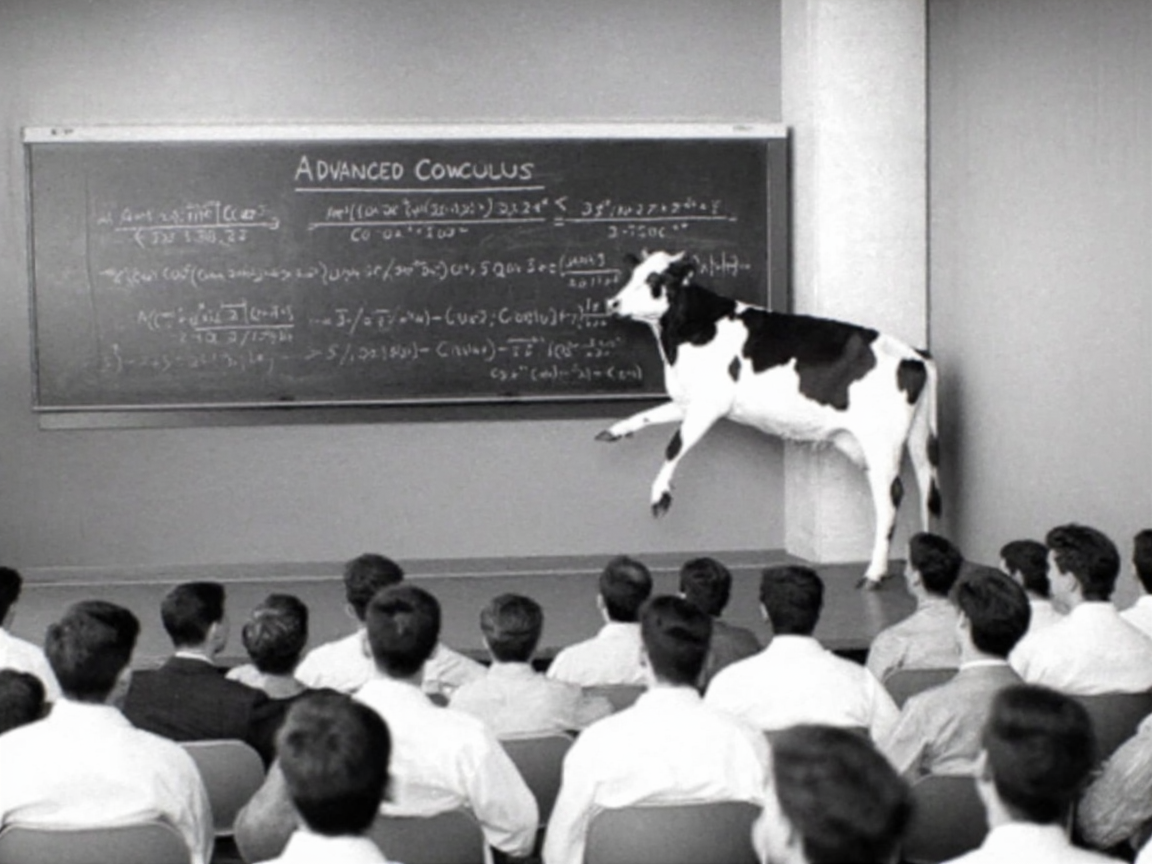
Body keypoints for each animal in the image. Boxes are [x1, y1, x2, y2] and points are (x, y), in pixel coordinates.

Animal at [597, 250, 941, 588]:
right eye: (633, 273)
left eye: (654, 279)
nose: (612, 303)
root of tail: (914, 353)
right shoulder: (687, 401)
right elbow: (646, 415)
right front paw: (615, 430)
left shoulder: (710, 403)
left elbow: (674, 446)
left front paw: (660, 497)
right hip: (913, 439)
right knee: (926, 488)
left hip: (882, 442)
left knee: (891, 496)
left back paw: (875, 573)